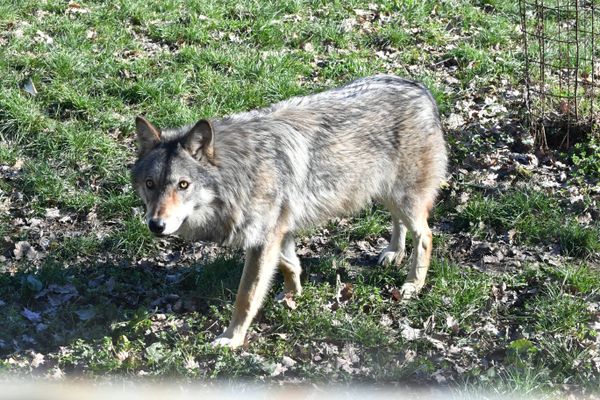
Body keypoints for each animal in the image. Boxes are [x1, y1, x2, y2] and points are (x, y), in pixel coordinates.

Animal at [134, 74, 448, 346]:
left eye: (183, 184)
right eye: (150, 184)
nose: (156, 225)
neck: (240, 173)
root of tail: (420, 89)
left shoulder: (264, 238)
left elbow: (246, 297)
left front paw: (232, 339)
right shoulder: (276, 231)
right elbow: (288, 263)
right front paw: (292, 295)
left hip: (405, 198)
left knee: (426, 235)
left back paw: (413, 284)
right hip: (386, 193)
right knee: (399, 223)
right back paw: (394, 252)